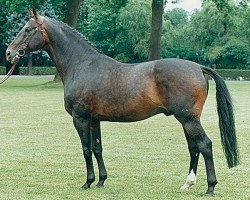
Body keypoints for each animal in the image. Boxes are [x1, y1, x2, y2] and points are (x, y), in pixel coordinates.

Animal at [4, 10, 239, 195]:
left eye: (27, 29)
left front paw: (87, 182)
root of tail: (199, 67)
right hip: (187, 120)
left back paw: (210, 187)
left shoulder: (81, 118)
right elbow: (97, 148)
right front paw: (100, 181)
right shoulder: (94, 120)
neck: (82, 65)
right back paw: (187, 184)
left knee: (205, 145)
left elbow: (86, 149)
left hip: (188, 119)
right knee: (193, 147)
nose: (9, 53)